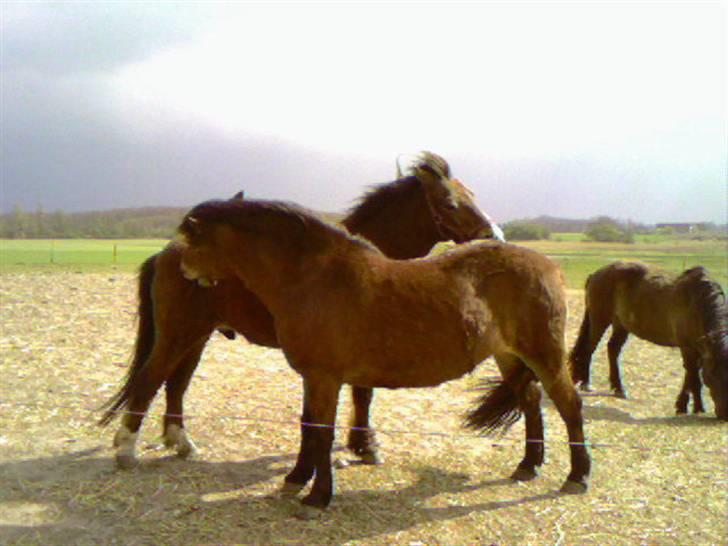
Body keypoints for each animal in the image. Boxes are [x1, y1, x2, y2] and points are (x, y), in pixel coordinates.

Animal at [99, 151, 504, 466]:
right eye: (451, 203)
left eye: (472, 195)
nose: (496, 237)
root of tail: (170, 253)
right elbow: (363, 394)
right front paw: (365, 446)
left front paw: (358, 445)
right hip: (179, 333)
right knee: (151, 380)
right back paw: (127, 450)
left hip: (197, 336)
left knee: (176, 384)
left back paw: (180, 443)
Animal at [176, 197, 592, 516]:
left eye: (191, 241)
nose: (184, 271)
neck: (313, 278)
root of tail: (550, 267)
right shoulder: (312, 377)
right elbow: (308, 426)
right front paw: (296, 479)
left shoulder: (325, 377)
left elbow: (322, 433)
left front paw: (317, 497)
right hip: (509, 356)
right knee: (531, 401)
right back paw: (528, 465)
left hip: (544, 355)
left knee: (569, 405)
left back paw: (578, 475)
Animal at [572, 260, 724, 416]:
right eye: (712, 375)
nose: (724, 414)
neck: (697, 302)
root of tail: (596, 274)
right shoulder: (687, 347)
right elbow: (693, 376)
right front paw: (692, 407)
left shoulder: (699, 349)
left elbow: (692, 375)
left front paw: (690, 406)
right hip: (599, 319)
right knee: (590, 347)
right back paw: (586, 383)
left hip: (621, 324)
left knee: (613, 349)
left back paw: (618, 389)